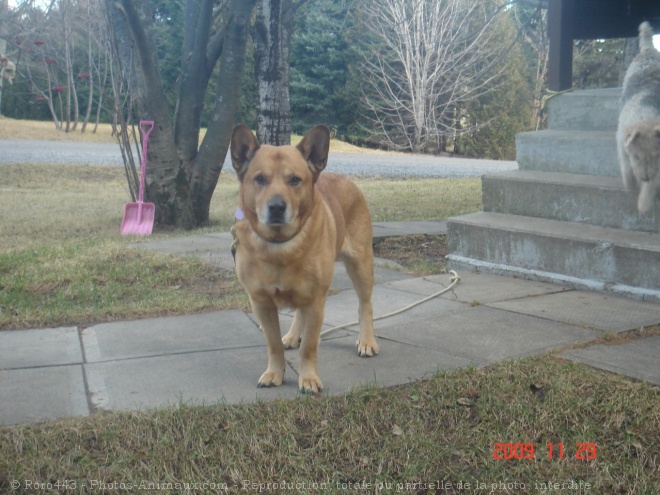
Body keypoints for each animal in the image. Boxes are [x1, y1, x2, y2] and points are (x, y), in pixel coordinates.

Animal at [231, 125, 376, 396]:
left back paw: (366, 340)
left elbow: (310, 346)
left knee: (365, 306)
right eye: (260, 179)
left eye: (295, 180)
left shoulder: (316, 302)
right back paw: (291, 336)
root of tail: (345, 178)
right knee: (299, 312)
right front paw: (275, 373)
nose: (277, 207)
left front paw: (308, 378)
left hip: (361, 266)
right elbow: (273, 344)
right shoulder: (261, 304)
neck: (280, 246)